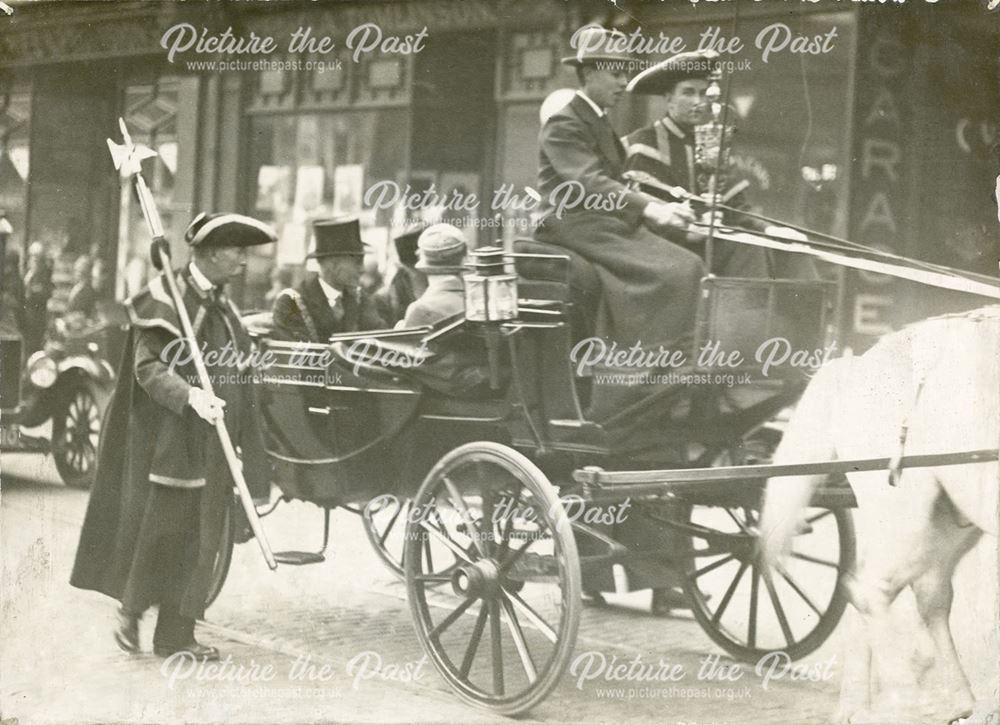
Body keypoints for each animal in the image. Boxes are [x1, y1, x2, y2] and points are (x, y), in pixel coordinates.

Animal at [760, 306, 996, 724]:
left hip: (943, 521)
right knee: (871, 589)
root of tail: (859, 365)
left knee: (917, 594)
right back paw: (906, 698)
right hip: (906, 514)